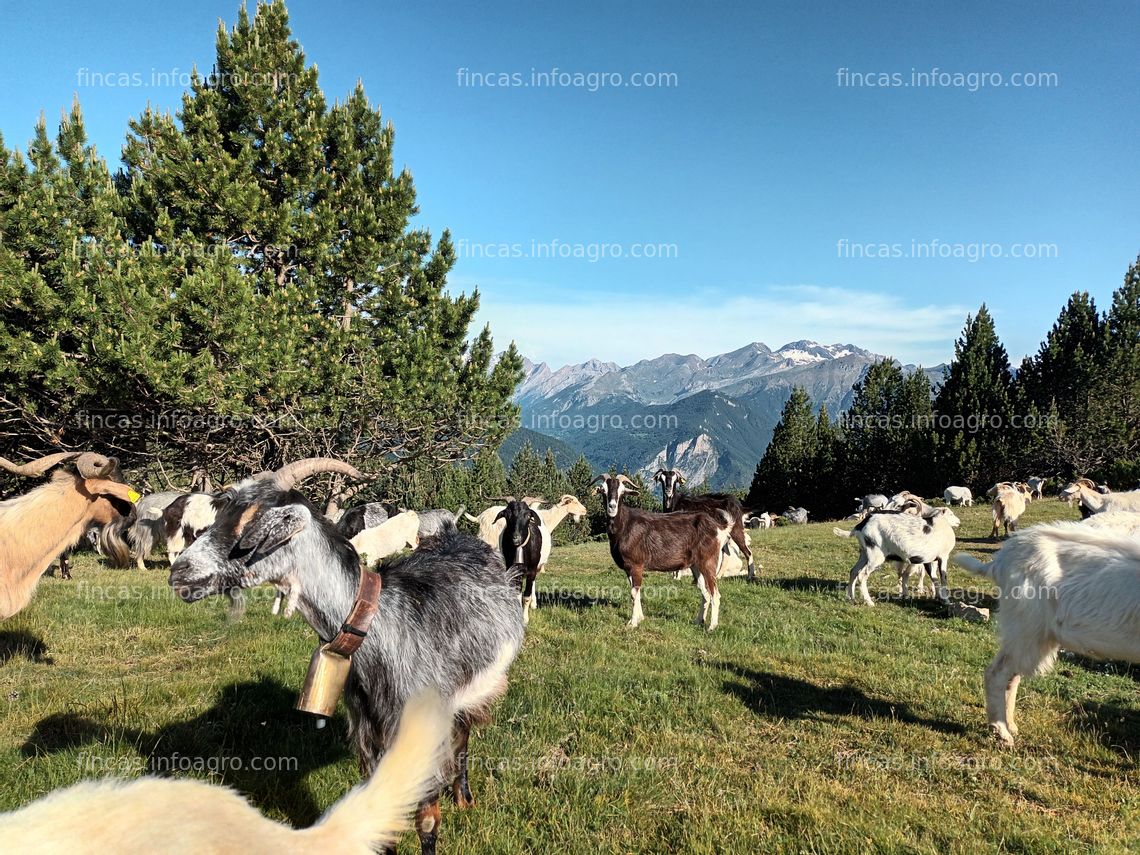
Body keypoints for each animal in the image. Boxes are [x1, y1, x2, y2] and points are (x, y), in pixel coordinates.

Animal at [168, 458, 524, 855]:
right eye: (220, 513)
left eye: (255, 524)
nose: (178, 573)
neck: (380, 627)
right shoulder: (368, 735)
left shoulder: (422, 728)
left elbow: (427, 819)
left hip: (479, 688)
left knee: (463, 735)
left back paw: (463, 796)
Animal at [953, 522, 1140, 743]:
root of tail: (1000, 561)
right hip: (1027, 627)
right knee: (997, 673)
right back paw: (1002, 733)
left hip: (1031, 634)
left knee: (1012, 675)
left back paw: (1010, 725)